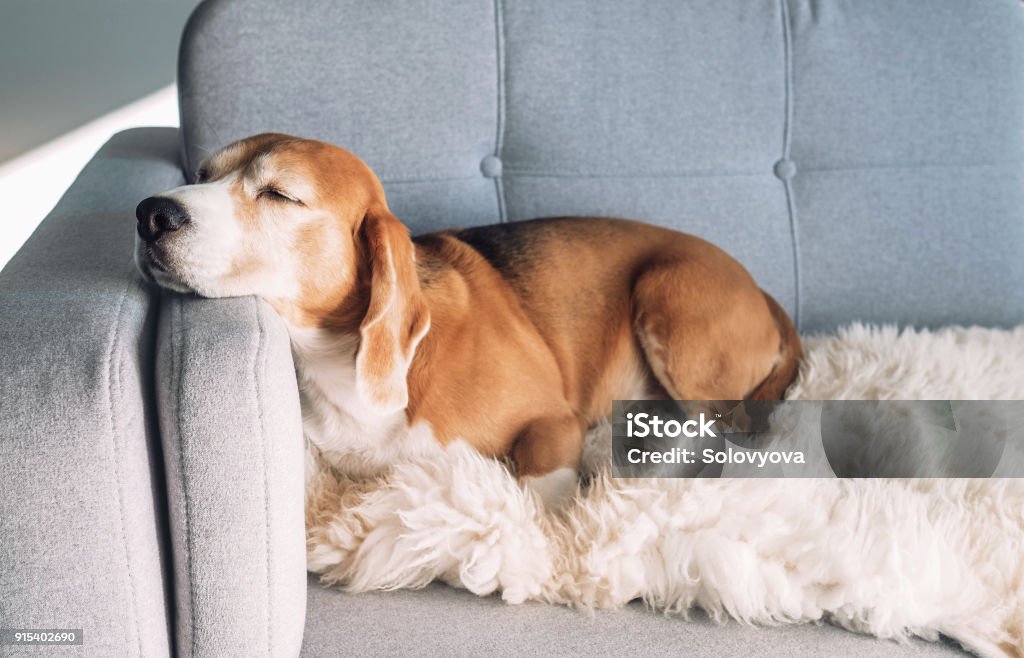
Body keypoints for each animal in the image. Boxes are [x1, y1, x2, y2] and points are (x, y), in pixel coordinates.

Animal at [136, 133, 802, 505]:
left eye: (279, 194)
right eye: (202, 175)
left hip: (668, 296)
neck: (336, 360)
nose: (149, 213)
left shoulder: (551, 422)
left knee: (717, 428)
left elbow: (538, 489)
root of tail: (761, 290)